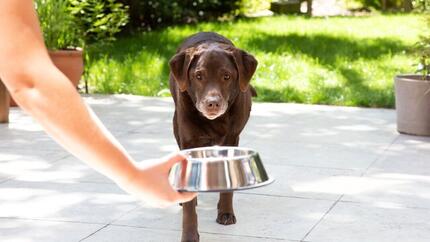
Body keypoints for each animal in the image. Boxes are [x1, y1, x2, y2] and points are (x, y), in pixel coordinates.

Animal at [167, 32, 255, 242]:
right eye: (198, 76)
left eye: (226, 76)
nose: (212, 103)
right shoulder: (188, 142)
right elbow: (189, 206)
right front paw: (189, 234)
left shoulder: (232, 140)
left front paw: (225, 212)